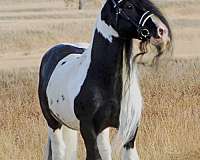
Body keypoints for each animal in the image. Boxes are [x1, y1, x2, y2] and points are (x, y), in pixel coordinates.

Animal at [38, 0, 172, 159]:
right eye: (129, 6)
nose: (161, 31)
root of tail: (53, 51)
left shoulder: (130, 131)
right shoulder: (87, 128)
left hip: (102, 130)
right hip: (53, 122)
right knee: (59, 149)